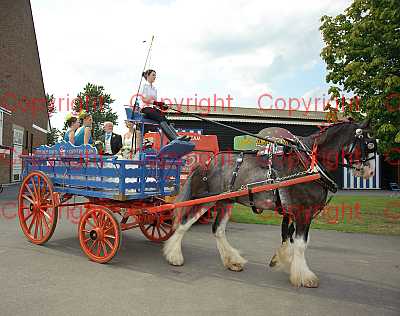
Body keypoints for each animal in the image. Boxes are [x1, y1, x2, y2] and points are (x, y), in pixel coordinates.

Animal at [162, 119, 376, 288]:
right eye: (369, 144)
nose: (370, 172)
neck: (309, 165)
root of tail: (206, 163)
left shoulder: (296, 213)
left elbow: (291, 239)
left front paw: (285, 261)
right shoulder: (303, 211)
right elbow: (301, 244)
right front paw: (304, 276)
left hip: (226, 201)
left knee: (218, 230)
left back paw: (232, 261)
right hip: (208, 199)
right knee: (184, 223)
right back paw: (174, 256)